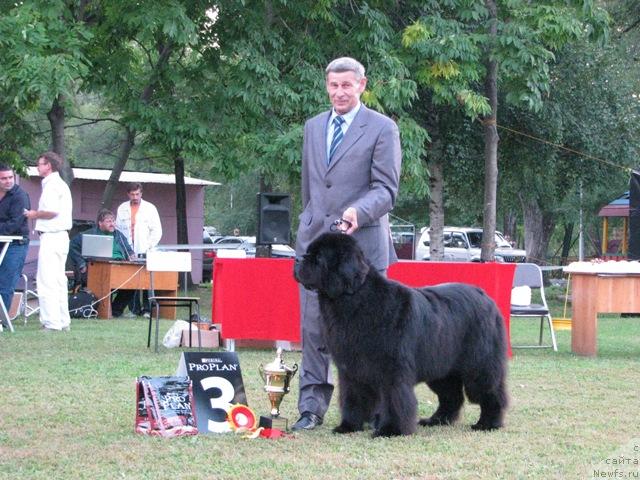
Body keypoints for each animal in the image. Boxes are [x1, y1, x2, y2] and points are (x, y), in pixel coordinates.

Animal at [296, 233, 510, 438]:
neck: (355, 300)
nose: (298, 260)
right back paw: (436, 420)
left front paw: (391, 430)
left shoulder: (392, 368)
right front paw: (348, 426)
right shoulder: (350, 368)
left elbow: (394, 400)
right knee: (451, 396)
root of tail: (486, 297)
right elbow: (353, 397)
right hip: (441, 367)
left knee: (490, 392)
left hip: (479, 364)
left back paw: (488, 424)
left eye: (319, 258)